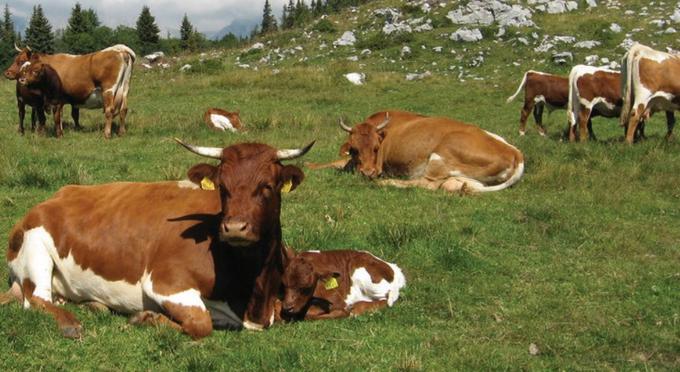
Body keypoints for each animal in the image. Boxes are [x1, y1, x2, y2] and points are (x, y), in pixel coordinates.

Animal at [4, 43, 135, 139]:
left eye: (21, 61)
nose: (7, 73)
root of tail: (119, 50)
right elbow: (72, 115)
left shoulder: (57, 99)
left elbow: (58, 115)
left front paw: (59, 132)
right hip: (125, 89)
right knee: (123, 109)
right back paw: (122, 132)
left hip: (109, 90)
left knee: (109, 111)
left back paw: (106, 134)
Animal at [5, 138, 314, 338]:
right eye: (222, 187)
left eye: (267, 186)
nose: (235, 228)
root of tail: (60, 193)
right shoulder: (165, 282)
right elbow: (201, 324)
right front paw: (146, 317)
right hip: (35, 248)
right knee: (36, 299)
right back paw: (70, 323)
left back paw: (94, 304)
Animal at [276, 248, 404, 322]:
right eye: (284, 284)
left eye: (306, 287)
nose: (287, 308)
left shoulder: (336, 300)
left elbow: (308, 313)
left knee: (388, 299)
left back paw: (356, 309)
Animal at [338, 114, 524, 193]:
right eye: (354, 150)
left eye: (376, 148)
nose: (367, 173)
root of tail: (515, 152)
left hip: (439, 157)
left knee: (427, 183)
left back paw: (386, 182)